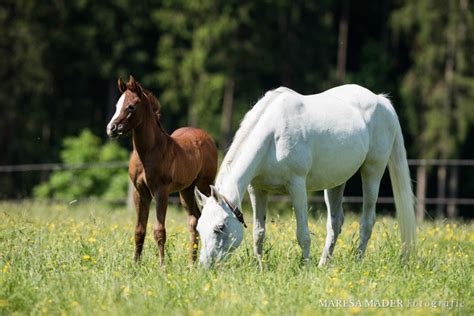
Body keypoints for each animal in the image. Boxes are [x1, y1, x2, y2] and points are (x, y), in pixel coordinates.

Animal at [106, 76, 218, 264]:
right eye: (116, 105)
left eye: (131, 106)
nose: (111, 129)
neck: (149, 152)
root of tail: (206, 137)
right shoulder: (140, 192)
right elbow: (139, 230)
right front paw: (136, 264)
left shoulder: (161, 191)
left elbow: (159, 231)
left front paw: (162, 266)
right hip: (186, 190)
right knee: (194, 219)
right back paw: (191, 263)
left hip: (205, 185)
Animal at [194, 84, 416, 270]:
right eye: (199, 227)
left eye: (220, 227)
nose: (204, 267)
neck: (272, 136)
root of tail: (381, 101)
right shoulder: (257, 189)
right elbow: (258, 233)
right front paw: (260, 268)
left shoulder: (297, 186)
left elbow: (303, 233)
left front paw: (305, 268)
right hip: (335, 182)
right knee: (335, 224)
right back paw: (323, 264)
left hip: (372, 172)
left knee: (367, 221)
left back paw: (357, 261)